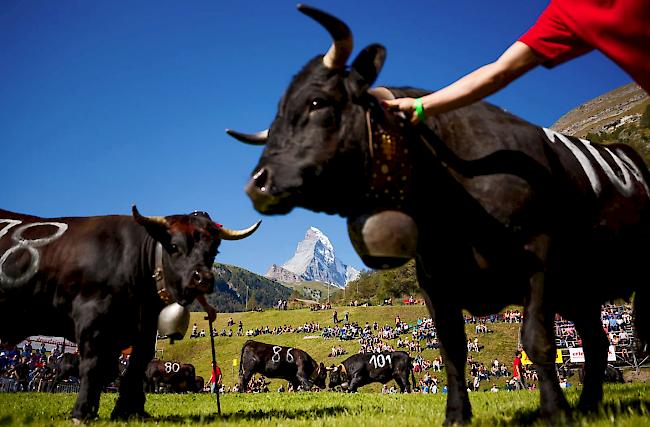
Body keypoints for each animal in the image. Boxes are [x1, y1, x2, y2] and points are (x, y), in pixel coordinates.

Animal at [0, 206, 258, 422]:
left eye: (214, 249)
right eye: (173, 246)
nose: (202, 279)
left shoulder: (142, 330)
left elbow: (133, 366)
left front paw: (128, 410)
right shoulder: (92, 319)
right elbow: (95, 366)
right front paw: (83, 412)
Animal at [225, 3, 644, 424]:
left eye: (316, 102)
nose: (258, 183)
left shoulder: (540, 263)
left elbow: (537, 341)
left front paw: (555, 411)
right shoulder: (435, 280)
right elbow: (452, 347)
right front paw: (456, 415)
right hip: (581, 292)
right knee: (595, 340)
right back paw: (589, 404)